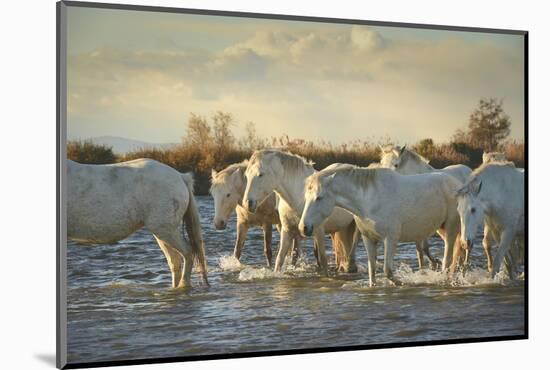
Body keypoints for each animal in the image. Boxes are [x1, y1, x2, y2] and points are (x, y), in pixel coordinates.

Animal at [67, 158, 209, 288]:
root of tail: (180, 177)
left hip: (166, 231)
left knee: (187, 253)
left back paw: (183, 285)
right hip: (163, 232)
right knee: (175, 261)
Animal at [300, 165, 464, 286]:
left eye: (319, 198)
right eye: (306, 197)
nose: (303, 227)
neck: (368, 200)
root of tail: (457, 184)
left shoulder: (390, 239)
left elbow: (387, 271)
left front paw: (402, 283)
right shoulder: (368, 238)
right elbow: (372, 270)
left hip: (451, 228)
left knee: (447, 259)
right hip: (441, 229)